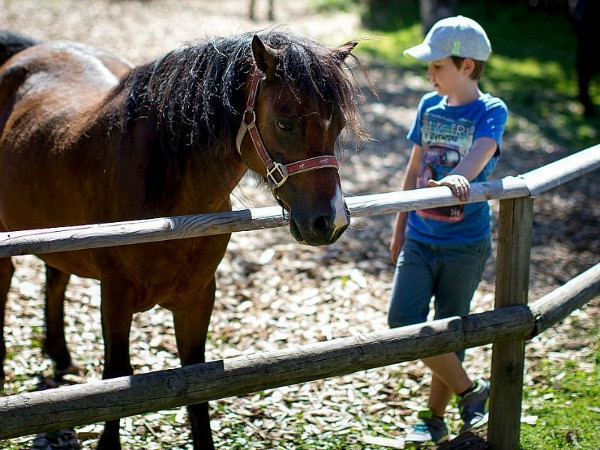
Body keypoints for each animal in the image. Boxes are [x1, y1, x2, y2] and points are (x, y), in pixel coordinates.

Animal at [0, 29, 368, 448]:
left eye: (338, 125)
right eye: (286, 123)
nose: (332, 221)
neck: (172, 205)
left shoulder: (198, 297)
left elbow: (198, 380)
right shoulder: (115, 296)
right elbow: (115, 378)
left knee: (55, 277)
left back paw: (59, 355)